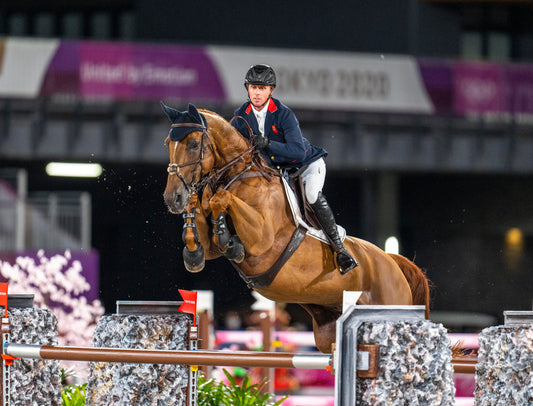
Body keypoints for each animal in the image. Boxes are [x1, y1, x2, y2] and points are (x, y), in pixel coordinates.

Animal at [161, 103, 428, 354]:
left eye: (193, 144)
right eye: (167, 144)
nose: (172, 198)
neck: (240, 175)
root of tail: (392, 262)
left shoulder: (262, 240)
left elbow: (221, 200)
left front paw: (231, 243)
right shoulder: (212, 246)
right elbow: (201, 225)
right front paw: (194, 253)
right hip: (327, 333)